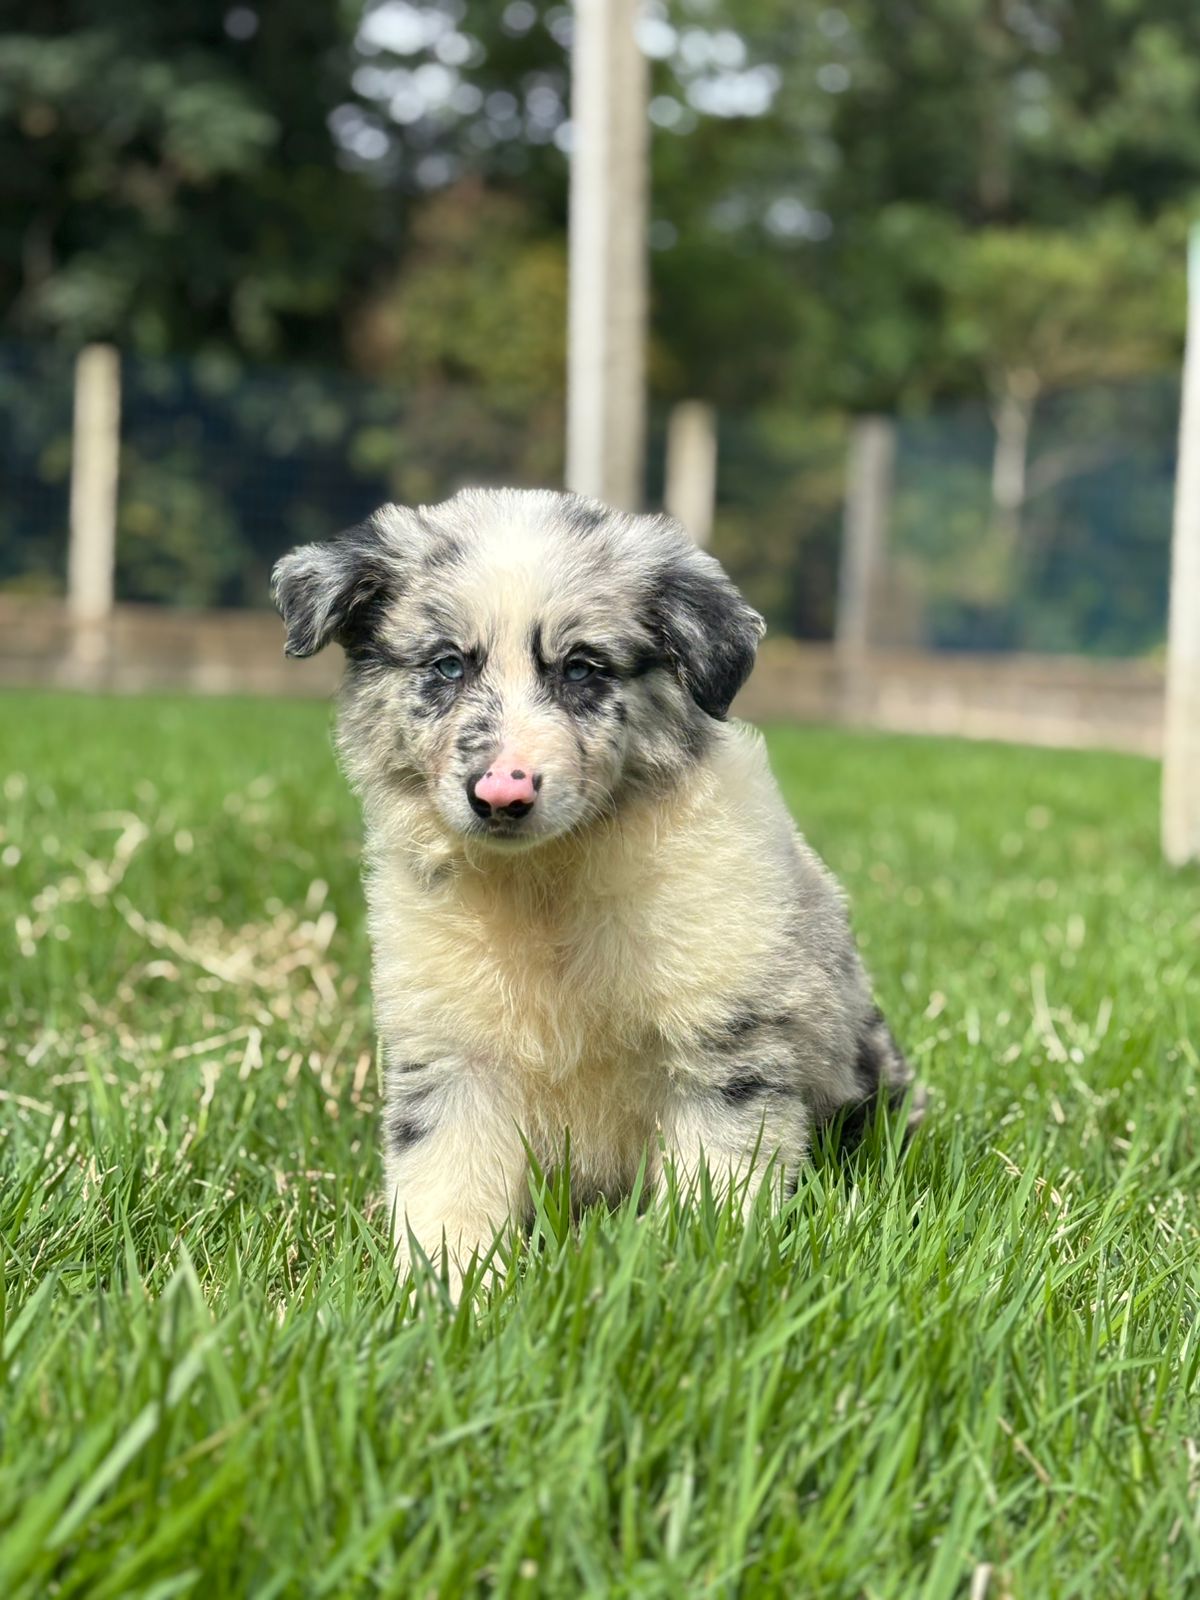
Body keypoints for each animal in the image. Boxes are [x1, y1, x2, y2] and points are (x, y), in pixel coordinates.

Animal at [272, 488, 920, 1291]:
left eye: (581, 670)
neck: (547, 887)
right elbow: (446, 1184)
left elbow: (716, 1185)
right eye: (447, 665)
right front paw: (446, 1293)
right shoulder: (452, 1055)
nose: (503, 793)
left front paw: (692, 1274)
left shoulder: (723, 1044)